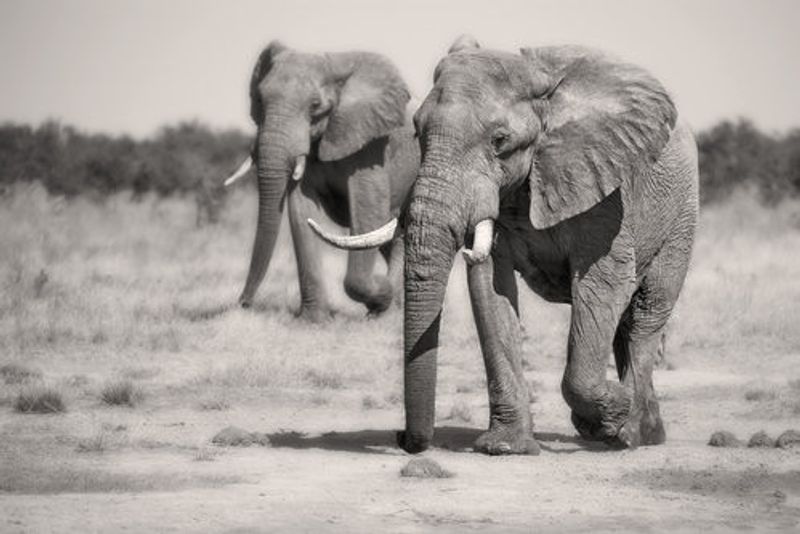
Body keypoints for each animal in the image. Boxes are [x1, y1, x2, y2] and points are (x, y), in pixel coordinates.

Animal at [224, 41, 419, 321]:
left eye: (315, 105)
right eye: (259, 99)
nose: (243, 303)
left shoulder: (370, 145)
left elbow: (368, 209)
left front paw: (383, 292)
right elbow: (300, 211)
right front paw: (313, 320)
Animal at [312, 36, 698, 455]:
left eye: (500, 141)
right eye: (417, 133)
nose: (401, 438)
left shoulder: (606, 194)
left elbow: (601, 284)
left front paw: (615, 411)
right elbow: (490, 288)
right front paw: (506, 446)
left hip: (681, 214)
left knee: (645, 312)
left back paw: (632, 433)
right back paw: (632, 428)